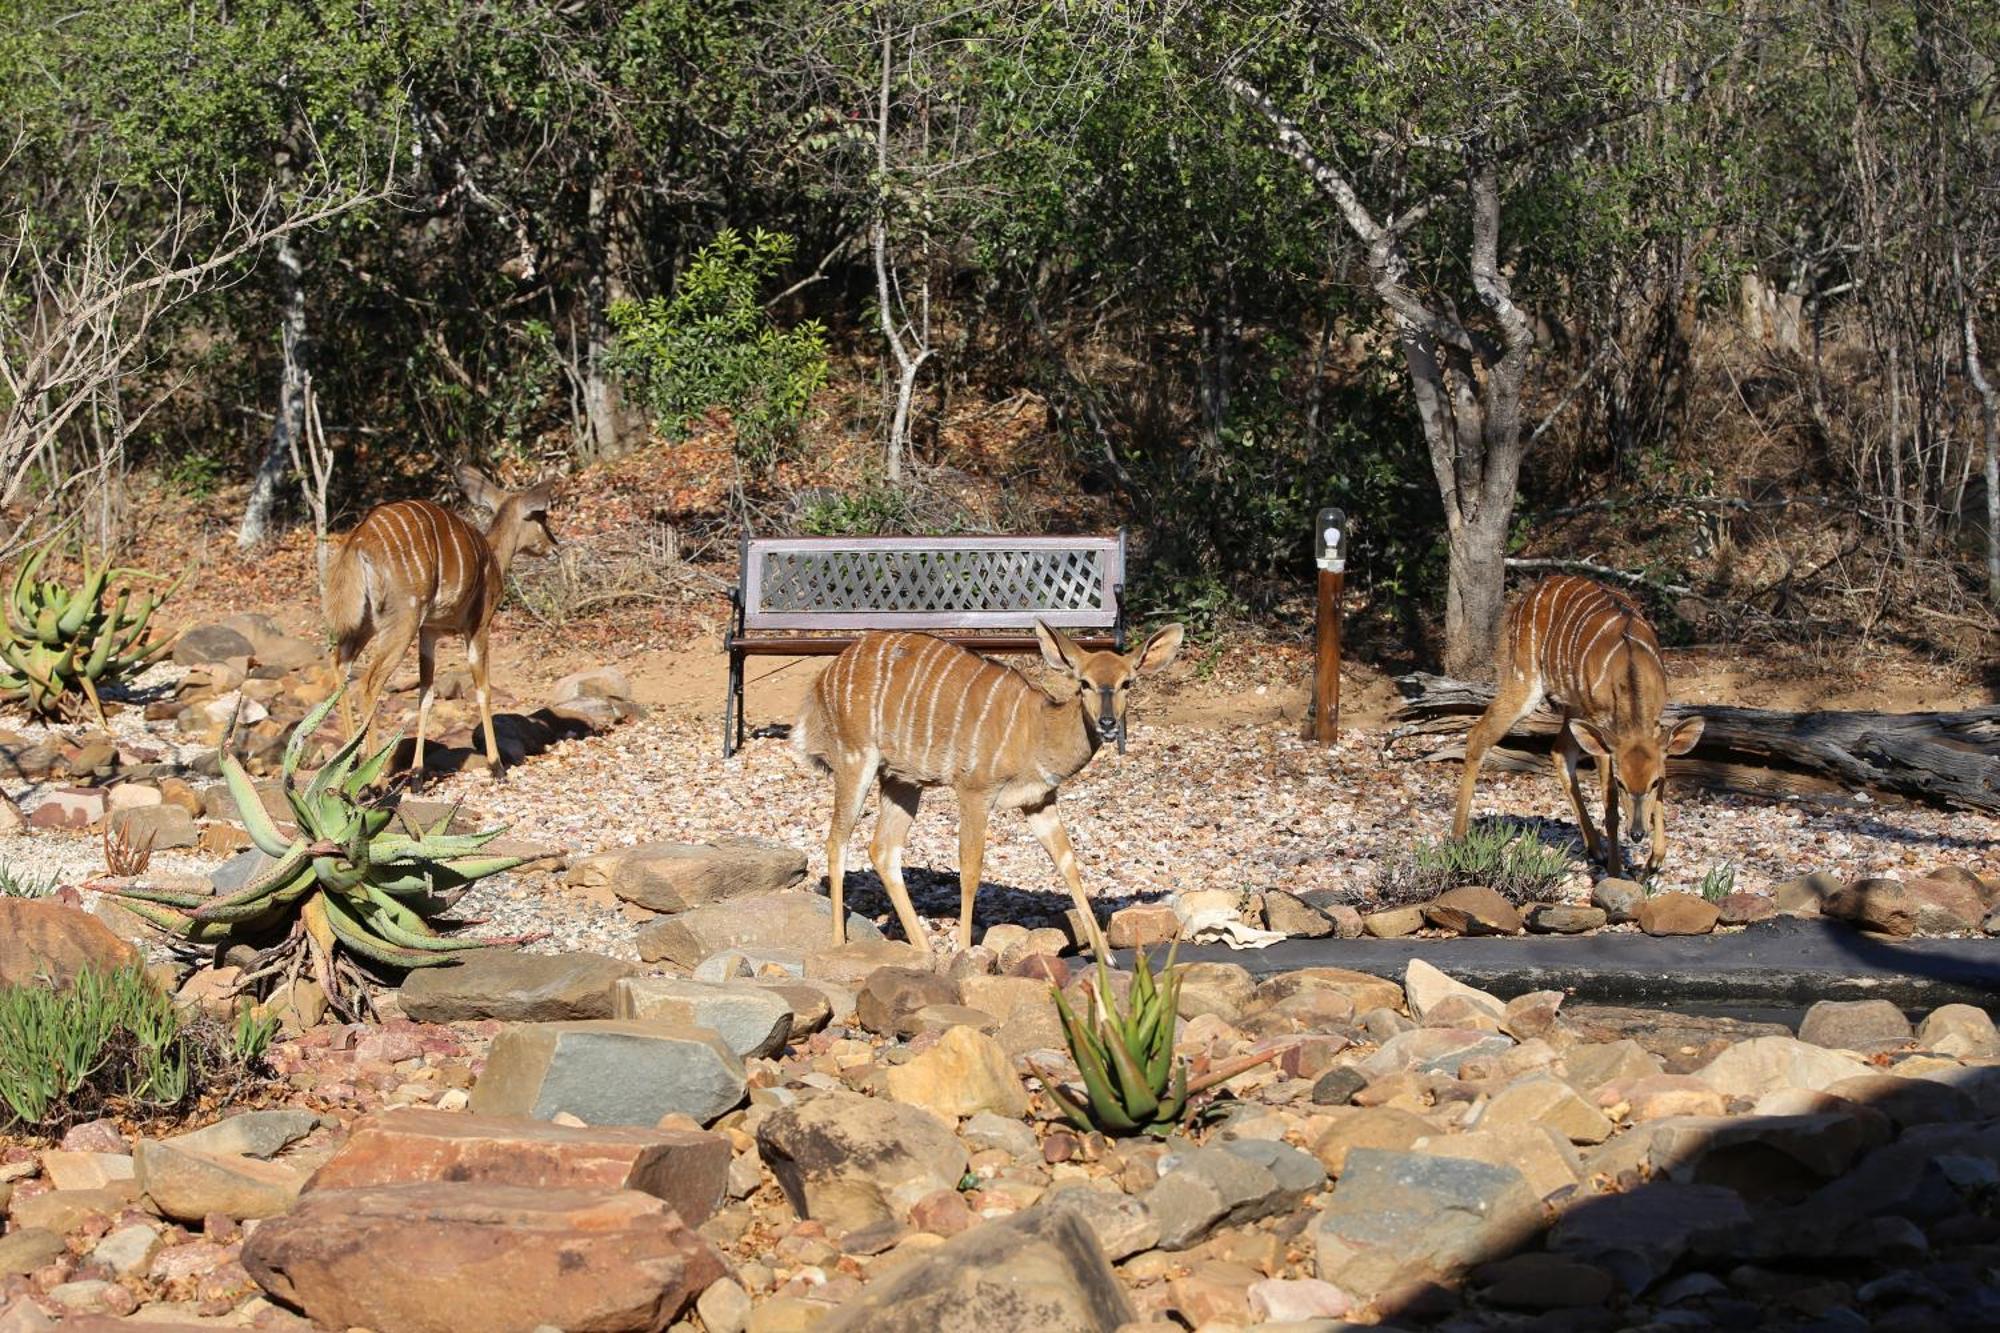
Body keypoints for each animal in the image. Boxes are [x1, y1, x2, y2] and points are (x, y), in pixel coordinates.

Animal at [324, 464, 556, 772]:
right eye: (542, 518)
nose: (555, 547)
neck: (493, 555)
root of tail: (358, 542)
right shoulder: (479, 624)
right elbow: (483, 689)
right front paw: (496, 766)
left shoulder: (430, 631)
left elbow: (426, 695)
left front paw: (417, 773)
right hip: (403, 619)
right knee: (369, 682)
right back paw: (373, 773)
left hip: (367, 622)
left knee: (340, 662)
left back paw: (349, 761)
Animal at [788, 616, 1176, 948]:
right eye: (1084, 683)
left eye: (1127, 682)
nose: (1108, 723)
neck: (1036, 732)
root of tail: (824, 679)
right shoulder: (974, 791)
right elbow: (971, 868)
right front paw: (963, 949)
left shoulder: (1040, 800)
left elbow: (1067, 862)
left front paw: (1105, 955)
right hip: (855, 759)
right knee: (837, 841)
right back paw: (840, 943)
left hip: (902, 780)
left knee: (883, 849)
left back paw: (924, 949)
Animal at [1456, 572, 1704, 872]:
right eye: (1621, 782)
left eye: (1654, 782)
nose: (1636, 834)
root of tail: (1519, 605)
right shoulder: (1601, 722)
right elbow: (1609, 805)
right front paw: (1616, 871)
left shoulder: (1654, 724)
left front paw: (1655, 860)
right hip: (1524, 679)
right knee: (1478, 736)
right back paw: (1457, 838)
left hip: (1572, 705)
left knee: (1559, 750)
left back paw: (1595, 849)